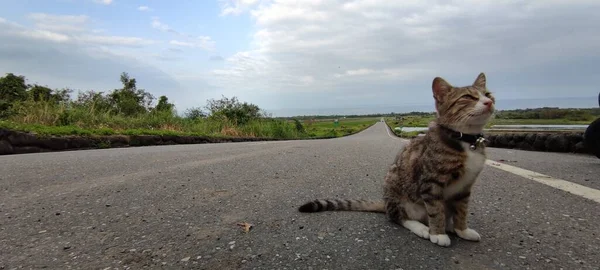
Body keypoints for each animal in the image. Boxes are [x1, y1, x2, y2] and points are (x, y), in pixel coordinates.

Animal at [298, 71, 494, 247]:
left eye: (488, 94)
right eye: (468, 97)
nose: (489, 102)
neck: (466, 141)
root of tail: (385, 203)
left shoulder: (465, 187)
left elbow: (462, 210)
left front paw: (463, 230)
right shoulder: (430, 183)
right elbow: (436, 210)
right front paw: (438, 234)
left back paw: (450, 226)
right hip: (396, 191)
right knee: (398, 217)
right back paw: (424, 228)